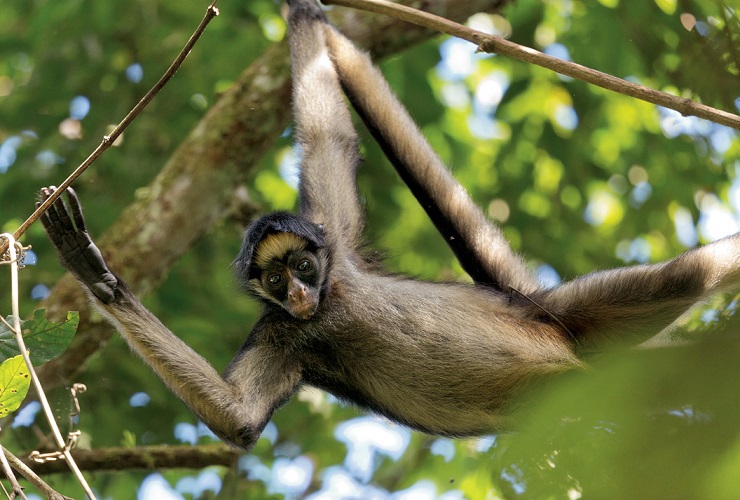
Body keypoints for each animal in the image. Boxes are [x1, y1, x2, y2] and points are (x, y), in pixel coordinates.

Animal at [39, 0, 740, 450]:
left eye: (303, 265)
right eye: (275, 281)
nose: (299, 293)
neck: (331, 303)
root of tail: (550, 328)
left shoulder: (336, 242)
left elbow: (330, 137)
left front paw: (303, 15)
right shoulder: (282, 332)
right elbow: (236, 418)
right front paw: (98, 279)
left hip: (574, 317)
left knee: (689, 275)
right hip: (597, 367)